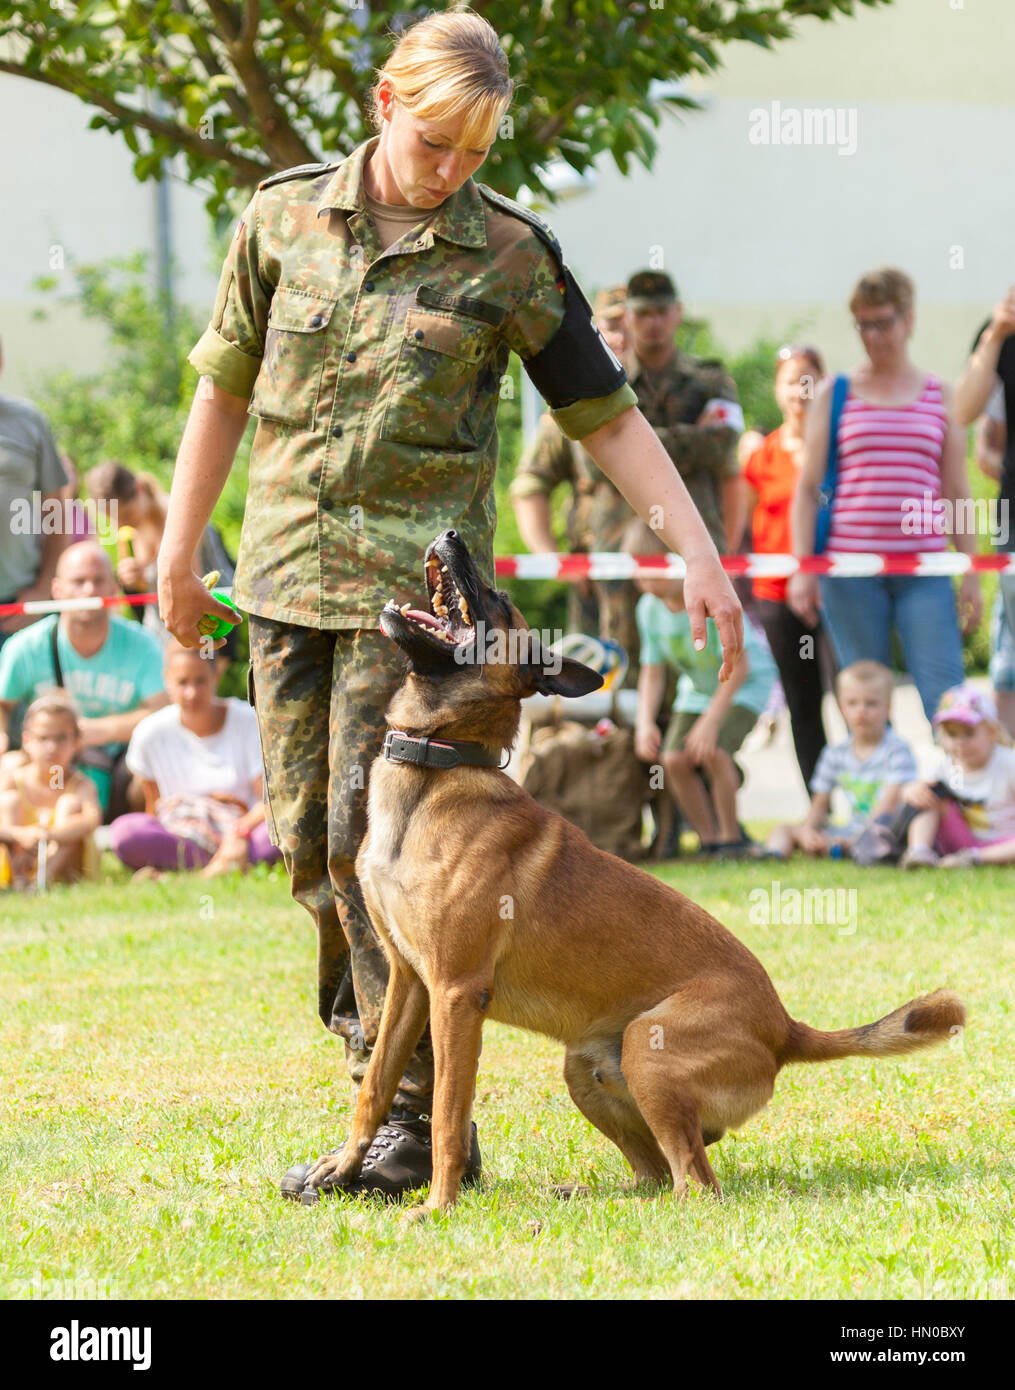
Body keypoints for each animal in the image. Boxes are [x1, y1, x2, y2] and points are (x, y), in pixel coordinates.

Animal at [305, 530, 962, 1217]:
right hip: (586, 1067)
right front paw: (342, 1169)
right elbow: (375, 1089)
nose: (452, 535)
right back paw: (588, 1195)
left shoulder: (457, 994)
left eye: (499, 598)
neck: (438, 764)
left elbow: (448, 1115)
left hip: (650, 1047)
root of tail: (785, 1028)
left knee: (695, 1185)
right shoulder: (409, 982)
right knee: (654, 1174)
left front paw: (437, 1207)